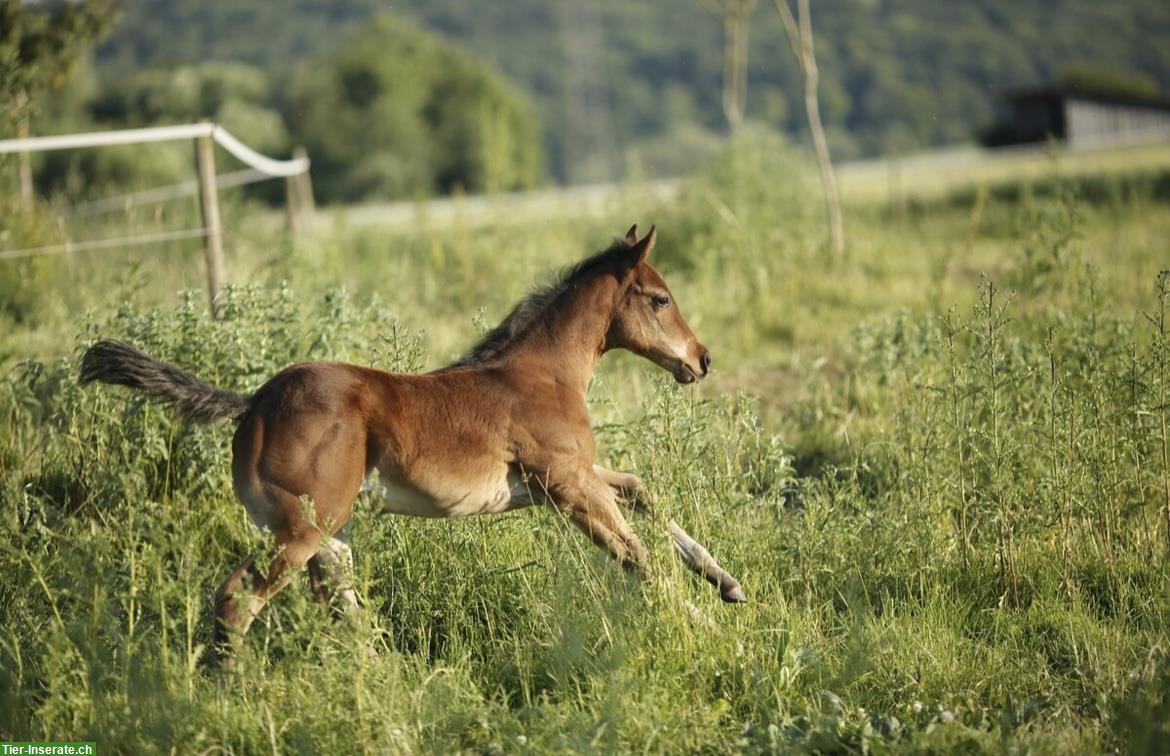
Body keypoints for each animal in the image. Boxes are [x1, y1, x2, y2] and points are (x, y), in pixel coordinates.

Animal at [77, 224, 744, 664]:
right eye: (660, 298)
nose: (702, 359)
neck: (542, 373)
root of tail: (254, 403)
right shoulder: (566, 484)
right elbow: (636, 555)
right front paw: (701, 624)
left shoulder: (558, 483)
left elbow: (642, 492)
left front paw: (727, 584)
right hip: (300, 530)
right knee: (239, 600)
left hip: (333, 535)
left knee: (339, 610)